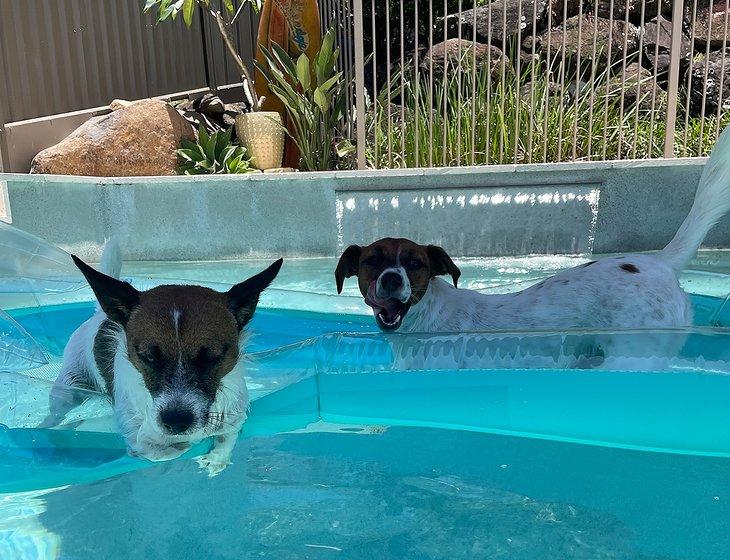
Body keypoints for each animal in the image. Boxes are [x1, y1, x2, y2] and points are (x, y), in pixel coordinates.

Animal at [44, 243, 280, 474]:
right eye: (147, 357)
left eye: (211, 357)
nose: (176, 422)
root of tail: (100, 315)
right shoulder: (136, 433)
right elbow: (156, 449)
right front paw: (173, 444)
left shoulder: (235, 416)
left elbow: (226, 436)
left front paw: (216, 459)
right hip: (69, 388)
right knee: (58, 412)